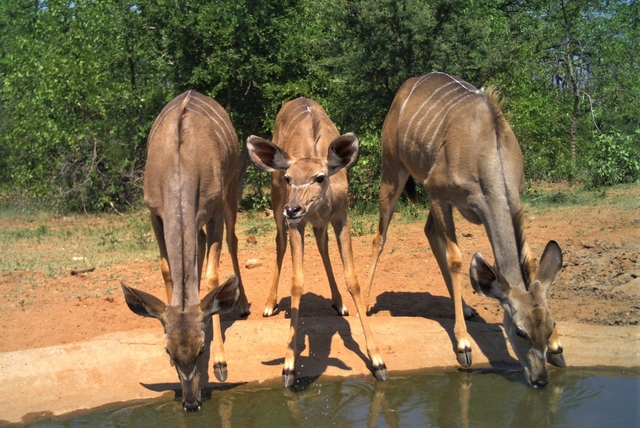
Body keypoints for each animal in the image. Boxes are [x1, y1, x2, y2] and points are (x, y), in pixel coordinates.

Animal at [120, 88, 250, 410]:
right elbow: (167, 269)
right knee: (199, 244)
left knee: (232, 240)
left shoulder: (214, 209)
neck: (180, 165)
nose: (191, 402)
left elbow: (213, 278)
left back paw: (241, 304)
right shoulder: (155, 213)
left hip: (230, 191)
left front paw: (221, 363)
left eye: (201, 349)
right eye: (169, 352)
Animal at [245, 98, 384, 388]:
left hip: (316, 222)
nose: (293, 208)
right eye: (289, 178)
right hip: (277, 203)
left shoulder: (341, 217)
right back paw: (269, 304)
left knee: (321, 245)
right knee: (280, 241)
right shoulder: (297, 224)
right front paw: (288, 366)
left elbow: (352, 279)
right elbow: (297, 282)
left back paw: (339, 303)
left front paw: (378, 361)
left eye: (320, 177)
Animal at [364, 73, 564, 388]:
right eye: (520, 331)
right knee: (381, 237)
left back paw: (468, 309)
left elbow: (530, 258)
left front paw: (557, 347)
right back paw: (364, 301)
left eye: (549, 325)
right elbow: (457, 258)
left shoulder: (513, 199)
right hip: (393, 172)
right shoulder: (438, 193)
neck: (487, 150)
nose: (540, 380)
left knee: (429, 231)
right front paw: (463, 345)